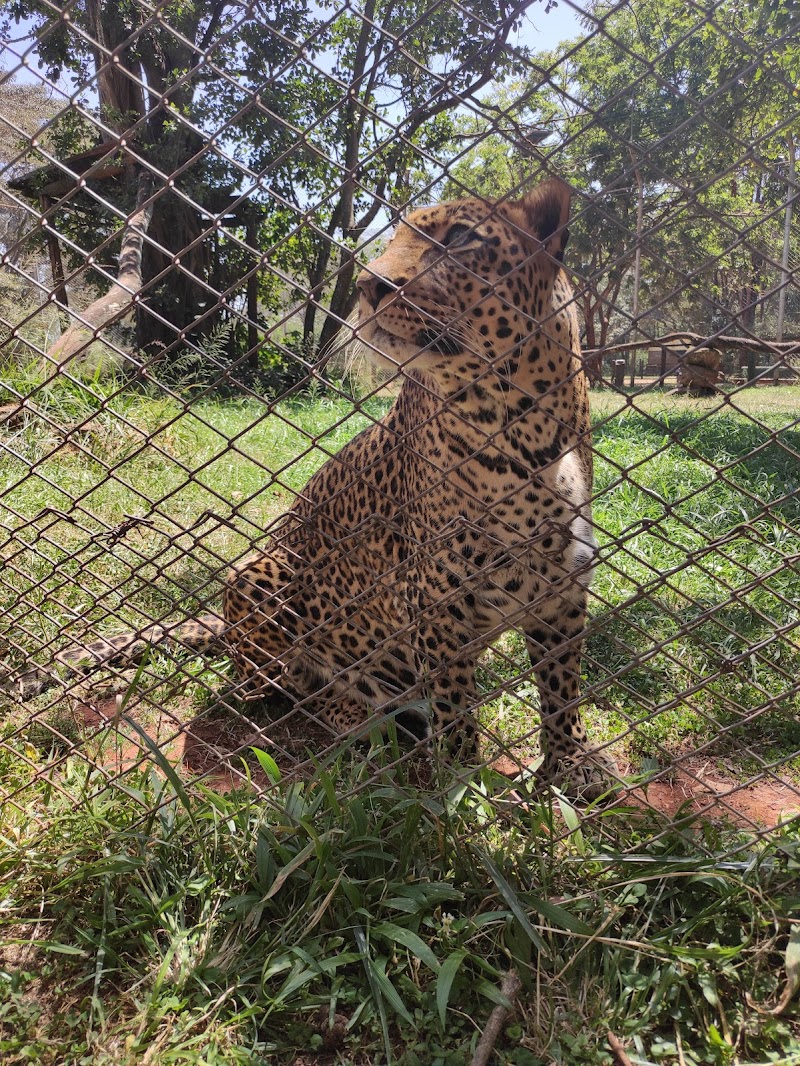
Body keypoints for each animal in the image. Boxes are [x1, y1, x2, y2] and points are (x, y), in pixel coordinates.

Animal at [9, 177, 614, 797]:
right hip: (256, 577)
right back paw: (358, 714)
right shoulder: (435, 605)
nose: (370, 285)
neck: (525, 424)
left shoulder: (563, 593)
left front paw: (571, 767)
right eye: (392, 239)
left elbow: (562, 690)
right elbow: (456, 711)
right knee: (280, 689)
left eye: (462, 238)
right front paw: (464, 786)